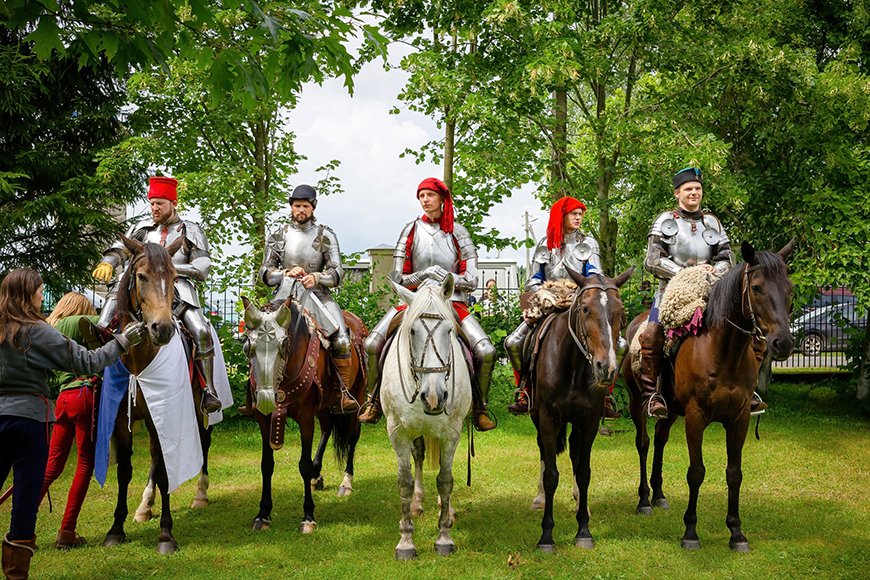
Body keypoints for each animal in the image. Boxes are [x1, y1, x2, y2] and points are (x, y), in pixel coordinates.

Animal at [99, 234, 213, 552]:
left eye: (175, 277)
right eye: (141, 276)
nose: (161, 329)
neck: (139, 363)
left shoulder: (164, 414)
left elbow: (164, 472)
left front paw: (166, 534)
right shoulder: (121, 422)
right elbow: (125, 470)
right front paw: (116, 529)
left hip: (201, 409)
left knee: (204, 443)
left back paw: (200, 495)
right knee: (152, 456)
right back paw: (144, 507)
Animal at [240, 296, 370, 532]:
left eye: (283, 344)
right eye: (248, 344)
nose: (266, 398)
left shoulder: (305, 418)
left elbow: (304, 465)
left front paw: (308, 516)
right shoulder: (263, 419)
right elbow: (266, 465)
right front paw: (263, 514)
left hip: (356, 396)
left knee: (353, 435)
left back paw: (346, 482)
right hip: (322, 407)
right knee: (327, 427)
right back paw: (317, 477)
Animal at [384, 276, 474, 560]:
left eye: (449, 331)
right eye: (412, 331)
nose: (434, 397)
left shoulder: (452, 433)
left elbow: (445, 481)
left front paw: (444, 536)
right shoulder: (398, 432)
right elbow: (404, 482)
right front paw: (405, 541)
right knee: (419, 455)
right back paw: (417, 502)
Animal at [532, 268, 632, 552]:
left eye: (620, 310)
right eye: (585, 308)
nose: (606, 368)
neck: (574, 368)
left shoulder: (589, 422)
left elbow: (584, 472)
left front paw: (584, 530)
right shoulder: (548, 419)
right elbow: (551, 474)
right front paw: (546, 536)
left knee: (576, 455)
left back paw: (580, 503)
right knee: (544, 453)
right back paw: (540, 498)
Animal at [620, 238, 796, 552]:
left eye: (789, 288)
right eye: (756, 288)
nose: (783, 343)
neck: (723, 352)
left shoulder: (739, 418)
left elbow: (734, 473)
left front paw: (736, 532)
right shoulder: (696, 416)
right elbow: (696, 471)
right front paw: (690, 532)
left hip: (671, 410)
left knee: (661, 440)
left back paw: (659, 495)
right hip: (636, 402)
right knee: (643, 443)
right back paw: (644, 500)